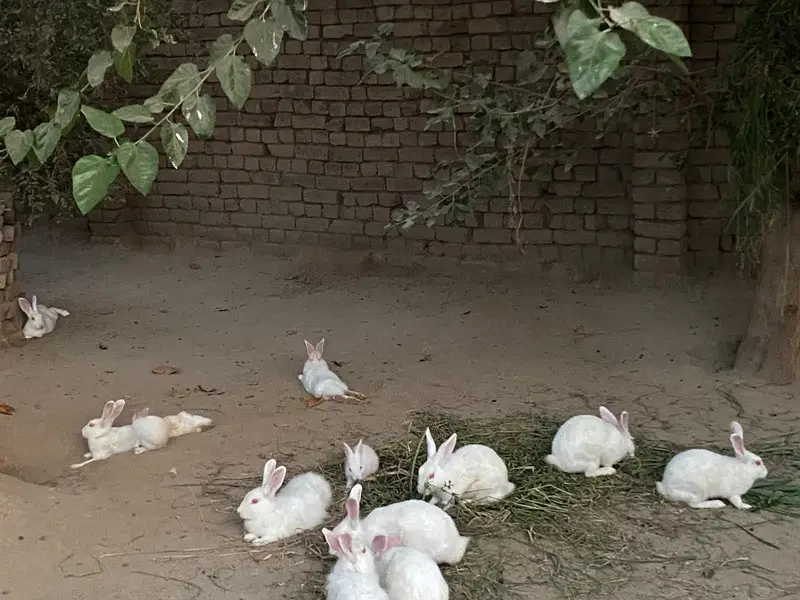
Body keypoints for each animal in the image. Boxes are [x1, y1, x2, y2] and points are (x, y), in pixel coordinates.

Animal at [70, 399, 214, 468]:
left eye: (91, 425)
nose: (82, 431)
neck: (101, 436)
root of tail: (166, 427)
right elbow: (89, 456)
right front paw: (86, 454)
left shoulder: (101, 455)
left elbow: (90, 461)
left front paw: (74, 465)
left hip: (148, 440)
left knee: (153, 448)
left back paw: (138, 450)